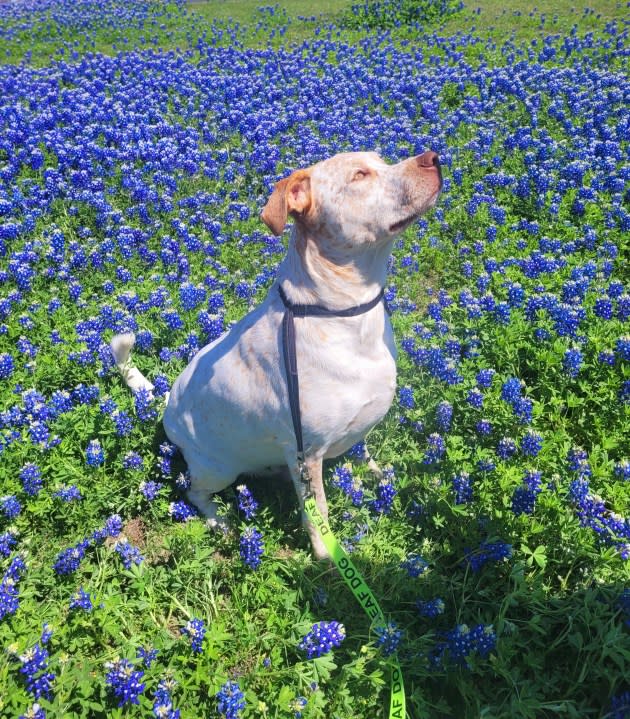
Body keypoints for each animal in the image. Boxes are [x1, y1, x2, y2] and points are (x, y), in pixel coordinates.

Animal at [111, 150, 442, 556]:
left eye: (380, 160)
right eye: (360, 175)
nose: (432, 156)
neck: (337, 311)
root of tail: (165, 406)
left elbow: (363, 455)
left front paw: (380, 481)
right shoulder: (306, 453)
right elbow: (318, 515)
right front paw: (326, 559)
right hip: (218, 467)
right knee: (193, 492)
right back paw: (220, 520)